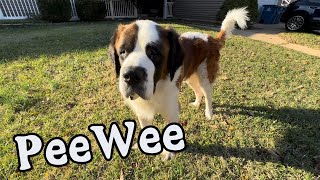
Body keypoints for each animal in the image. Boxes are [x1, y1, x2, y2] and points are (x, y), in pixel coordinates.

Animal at [109, 7, 249, 159]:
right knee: (198, 91)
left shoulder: (171, 108)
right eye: (123, 52)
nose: (132, 75)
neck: (157, 86)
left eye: (154, 54)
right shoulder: (142, 110)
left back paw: (208, 113)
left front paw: (169, 152)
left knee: (208, 95)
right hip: (189, 77)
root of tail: (211, 38)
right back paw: (196, 104)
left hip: (205, 76)